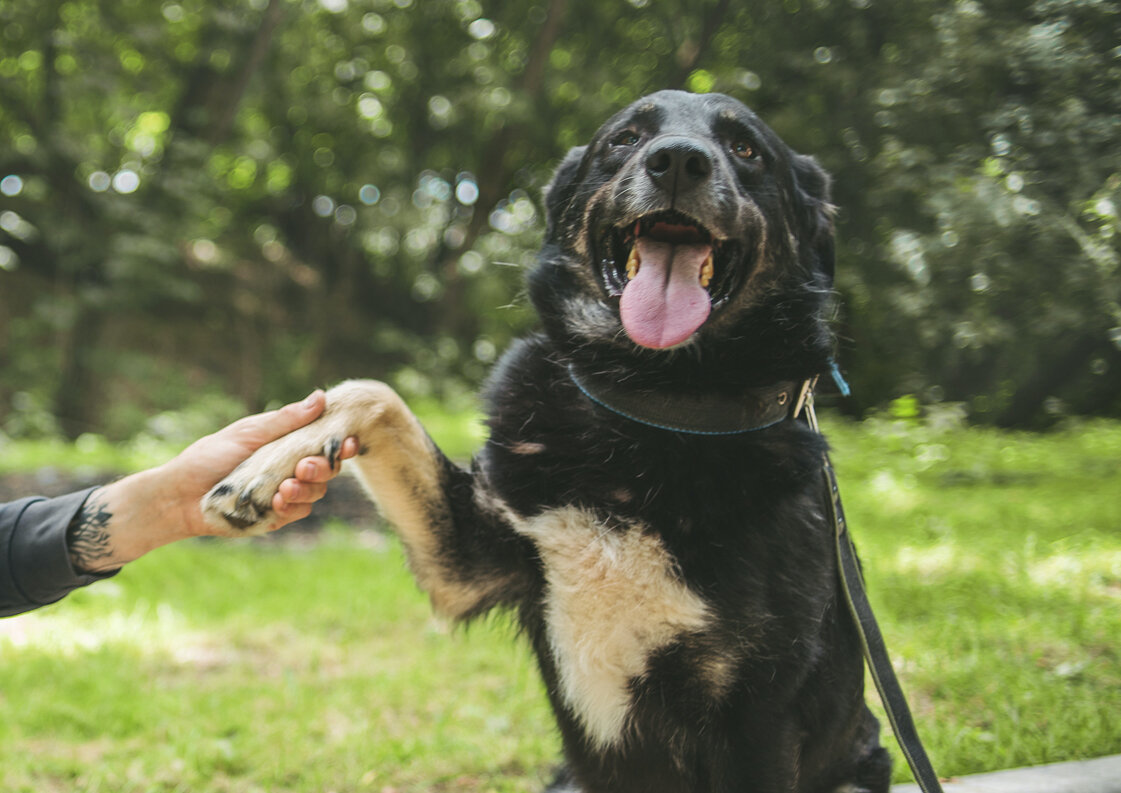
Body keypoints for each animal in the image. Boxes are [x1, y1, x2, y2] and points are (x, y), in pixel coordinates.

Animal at [204, 89, 892, 789]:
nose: (677, 161)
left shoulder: (761, 715)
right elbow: (374, 391)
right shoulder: (467, 564)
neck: (650, 410)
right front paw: (265, 465)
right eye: (625, 138)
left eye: (746, 148)